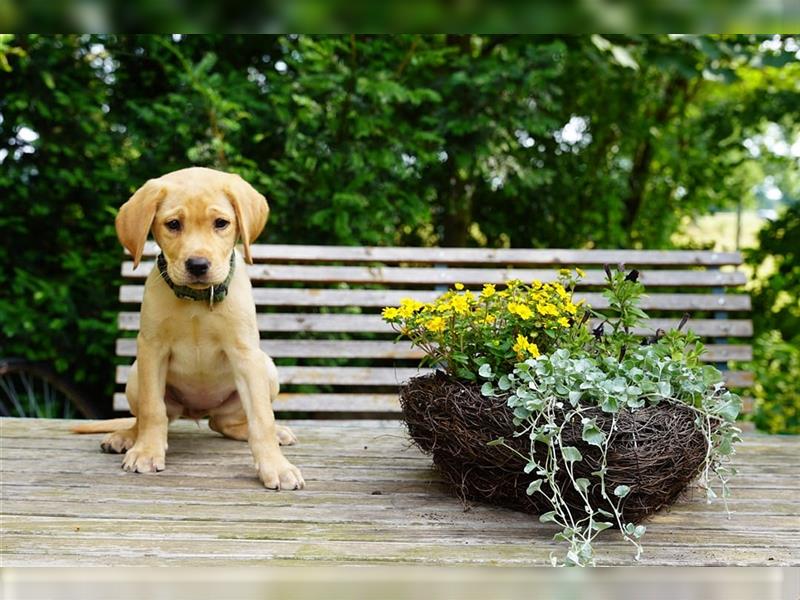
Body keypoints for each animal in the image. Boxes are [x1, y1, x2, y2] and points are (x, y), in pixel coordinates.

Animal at [74, 166, 304, 490]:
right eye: (173, 224)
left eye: (221, 223)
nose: (197, 265)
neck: (197, 301)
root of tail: (197, 411)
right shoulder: (152, 348)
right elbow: (152, 411)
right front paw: (146, 452)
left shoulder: (246, 355)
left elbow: (262, 420)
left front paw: (276, 466)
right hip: (135, 374)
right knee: (146, 418)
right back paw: (127, 437)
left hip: (266, 368)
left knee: (224, 422)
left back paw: (272, 432)